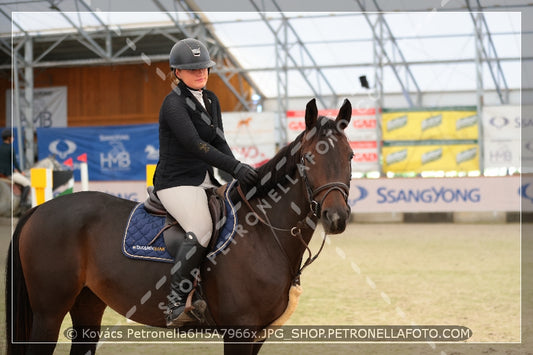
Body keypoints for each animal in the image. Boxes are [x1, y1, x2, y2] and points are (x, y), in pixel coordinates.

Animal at [5, 98, 354, 355]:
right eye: (308, 159)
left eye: (350, 156)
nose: (336, 216)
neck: (264, 233)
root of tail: (39, 210)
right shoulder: (239, 332)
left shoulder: (258, 335)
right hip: (48, 313)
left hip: (87, 306)